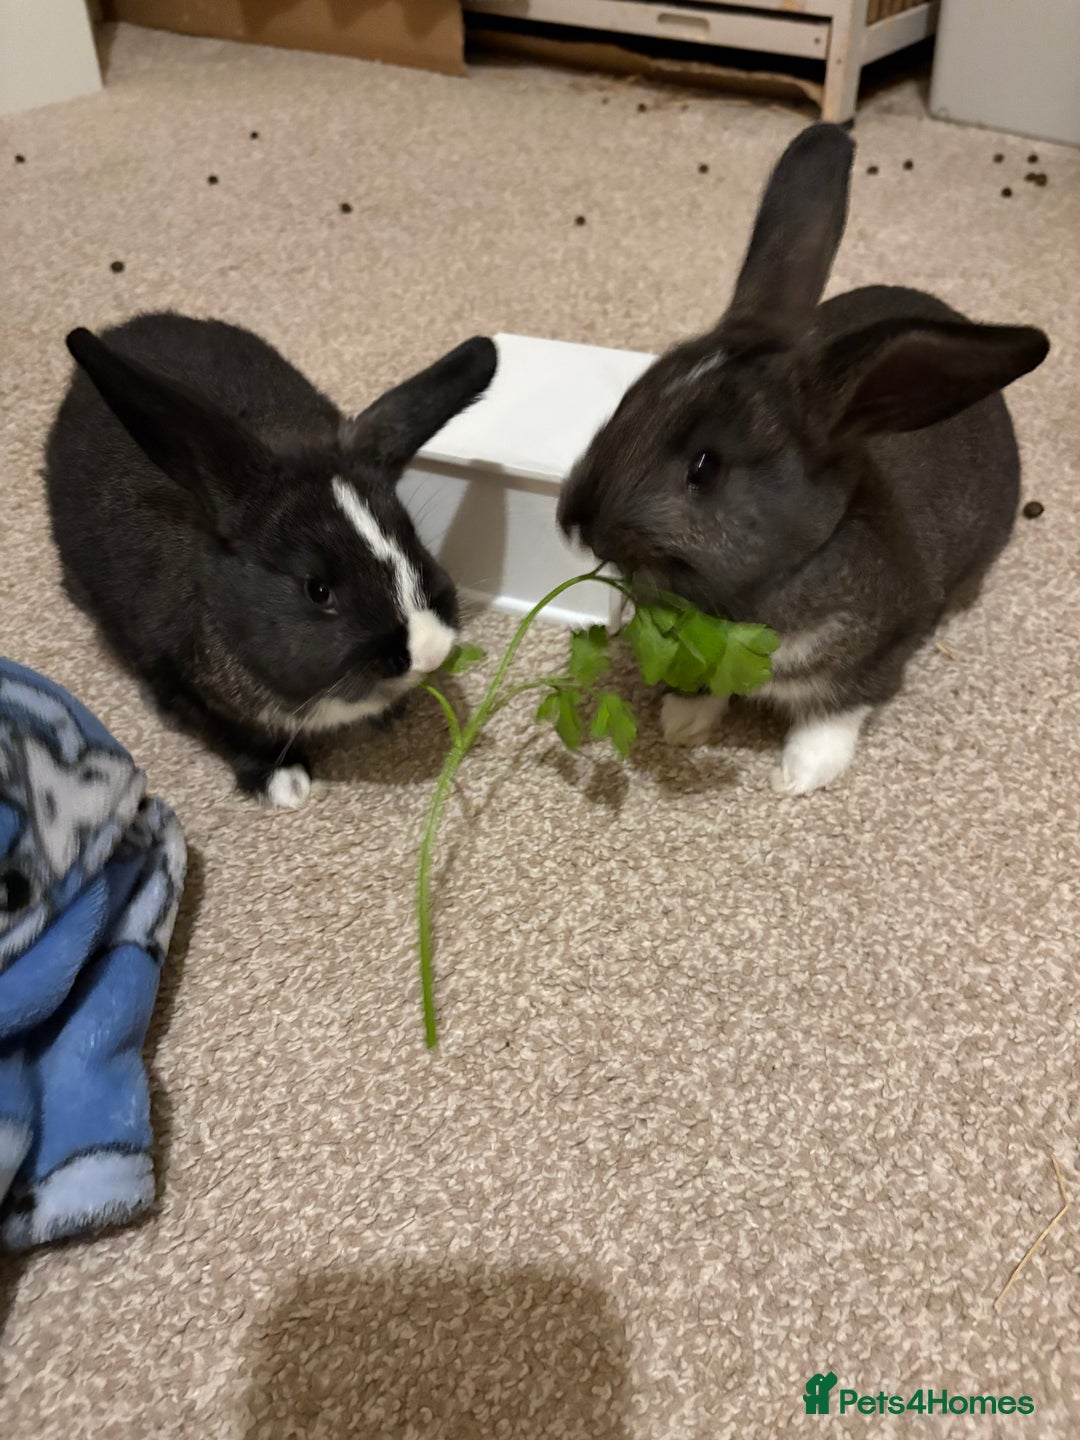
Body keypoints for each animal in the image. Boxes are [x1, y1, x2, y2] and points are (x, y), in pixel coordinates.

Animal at [45, 312, 497, 808]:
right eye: (317, 590)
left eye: (413, 538)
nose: (430, 651)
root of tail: (122, 326)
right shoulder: (177, 685)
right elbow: (231, 735)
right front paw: (283, 783)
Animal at [558, 123, 1049, 796]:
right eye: (628, 402)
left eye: (705, 468)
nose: (578, 524)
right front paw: (682, 722)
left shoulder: (880, 650)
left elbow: (836, 710)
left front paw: (799, 774)